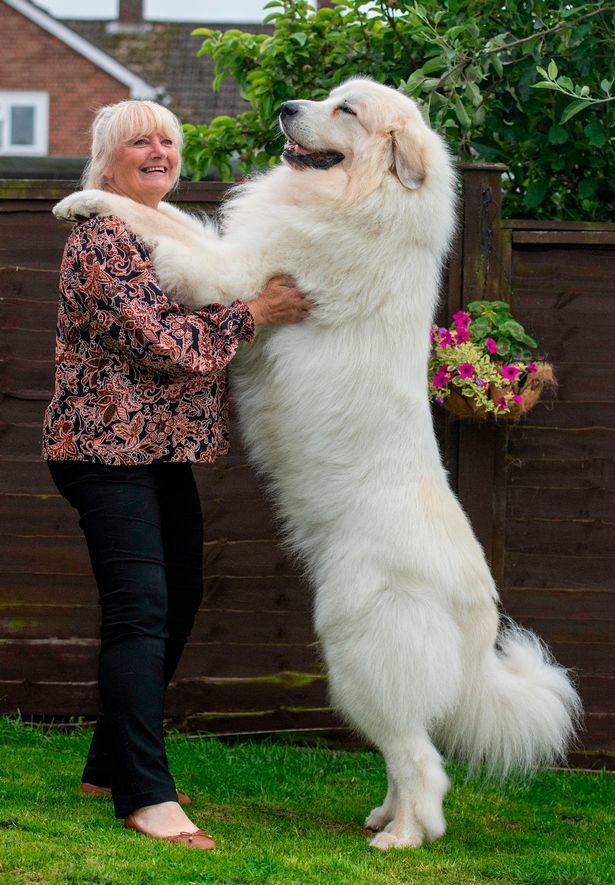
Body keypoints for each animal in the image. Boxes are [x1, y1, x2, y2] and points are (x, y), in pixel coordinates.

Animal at [54, 79, 584, 848]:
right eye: (332, 97)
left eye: (347, 111)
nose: (285, 109)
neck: (366, 199)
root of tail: (477, 612)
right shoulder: (235, 247)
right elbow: (178, 218)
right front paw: (90, 199)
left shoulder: (233, 273)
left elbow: (151, 222)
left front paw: (85, 201)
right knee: (403, 754)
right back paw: (385, 816)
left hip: (357, 650)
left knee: (422, 761)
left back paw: (401, 838)